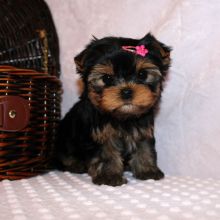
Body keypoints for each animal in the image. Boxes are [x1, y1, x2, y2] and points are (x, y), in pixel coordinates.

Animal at [54, 33, 171, 186]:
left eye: (142, 74)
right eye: (107, 78)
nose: (126, 91)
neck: (123, 117)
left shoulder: (143, 129)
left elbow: (145, 147)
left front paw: (147, 170)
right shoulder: (101, 135)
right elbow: (106, 154)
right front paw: (108, 176)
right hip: (64, 140)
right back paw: (75, 165)